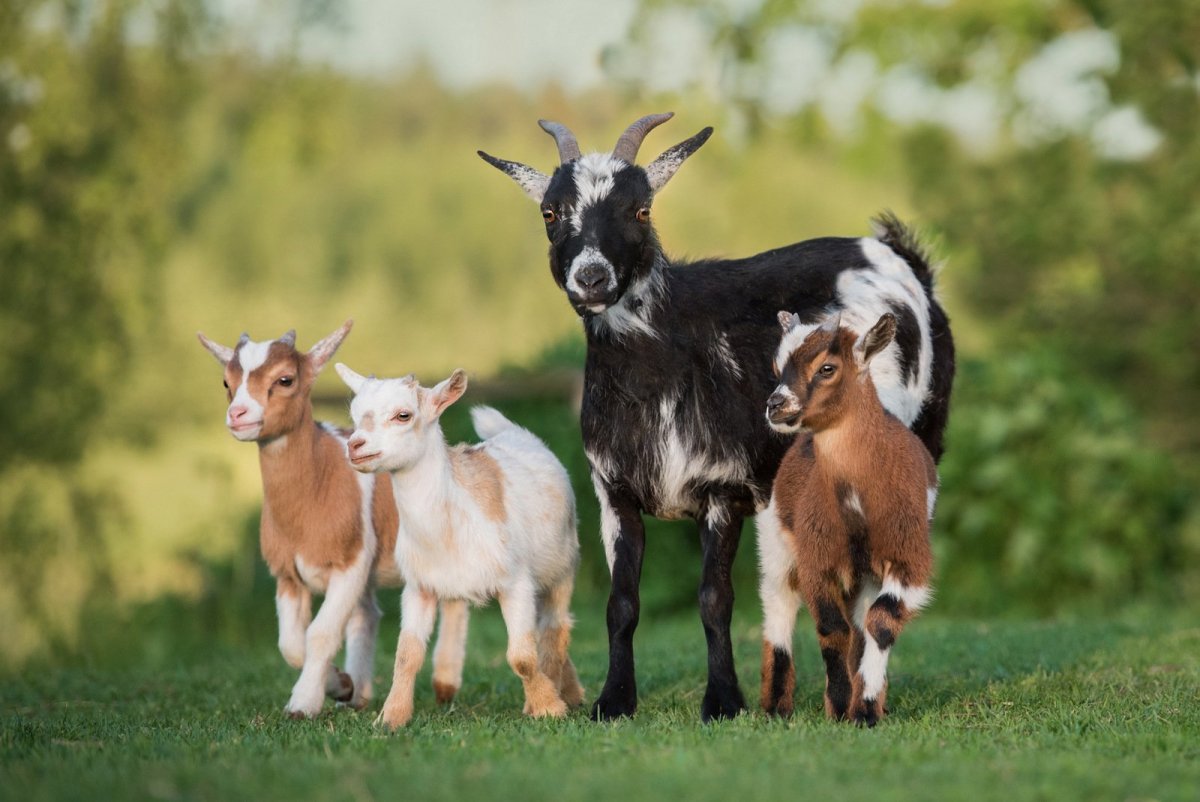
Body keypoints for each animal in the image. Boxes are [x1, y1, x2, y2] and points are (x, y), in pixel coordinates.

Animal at [196, 322, 470, 717]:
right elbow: (291, 644)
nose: (238, 415)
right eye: (226, 381)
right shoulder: (286, 572)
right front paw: (340, 684)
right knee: (367, 614)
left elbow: (320, 633)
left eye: (285, 379)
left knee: (454, 599)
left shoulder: (350, 562)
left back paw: (445, 683)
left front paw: (303, 703)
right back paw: (359, 695)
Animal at [334, 364, 584, 729]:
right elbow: (407, 655)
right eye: (354, 415)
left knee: (556, 628)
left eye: (403, 415)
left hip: (563, 567)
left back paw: (557, 694)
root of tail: (516, 433)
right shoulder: (419, 587)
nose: (355, 446)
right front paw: (392, 717)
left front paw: (549, 707)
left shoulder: (515, 582)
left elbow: (522, 656)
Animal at [758, 312, 937, 726]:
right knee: (779, 602)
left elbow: (881, 623)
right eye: (777, 366)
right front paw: (840, 705)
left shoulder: (908, 553)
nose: (776, 405)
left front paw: (866, 709)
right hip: (775, 541)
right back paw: (775, 706)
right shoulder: (816, 555)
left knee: (860, 622)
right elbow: (830, 627)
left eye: (827, 368)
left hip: (865, 575)